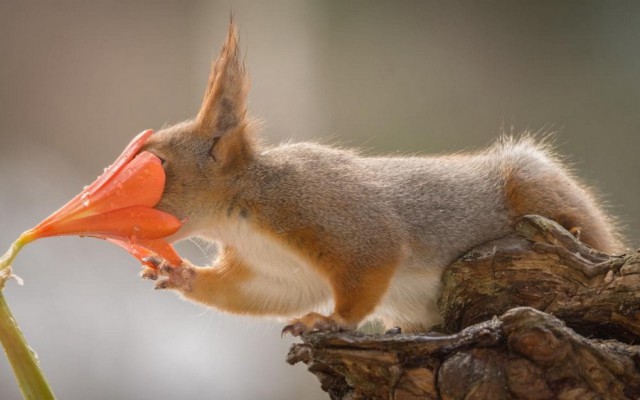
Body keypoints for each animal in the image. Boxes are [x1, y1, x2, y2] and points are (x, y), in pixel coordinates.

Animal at [139, 23, 624, 336]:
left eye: (158, 164)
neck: (240, 211)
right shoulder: (273, 271)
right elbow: (256, 294)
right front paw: (179, 275)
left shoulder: (327, 209)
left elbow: (373, 260)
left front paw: (333, 321)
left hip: (531, 184)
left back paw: (578, 231)